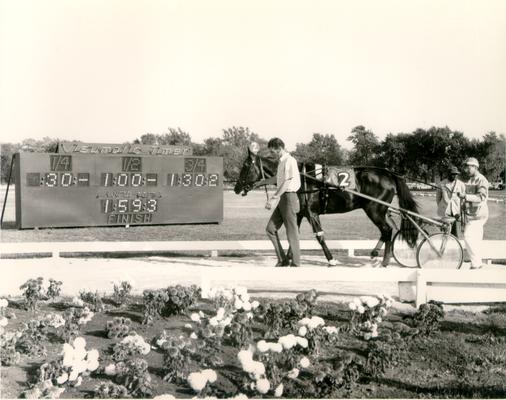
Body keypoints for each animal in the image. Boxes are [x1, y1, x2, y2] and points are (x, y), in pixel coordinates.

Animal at [233, 146, 420, 266]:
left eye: (245, 166)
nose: (236, 187)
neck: (301, 178)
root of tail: (389, 174)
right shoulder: (299, 213)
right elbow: (293, 235)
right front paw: (288, 259)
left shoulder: (312, 213)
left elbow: (320, 237)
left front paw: (331, 259)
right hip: (381, 210)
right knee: (389, 229)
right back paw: (375, 254)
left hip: (374, 209)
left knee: (387, 230)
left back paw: (384, 261)